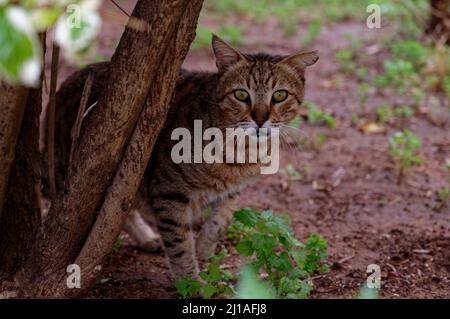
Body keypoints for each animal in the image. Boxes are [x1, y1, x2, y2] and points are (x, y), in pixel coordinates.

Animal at [51, 34, 318, 280]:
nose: (260, 120)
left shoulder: (233, 192)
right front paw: (190, 281)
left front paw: (204, 250)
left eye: (280, 95)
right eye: (241, 95)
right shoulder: (169, 192)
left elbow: (220, 222)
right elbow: (179, 243)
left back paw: (146, 238)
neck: (241, 150)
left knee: (117, 211)